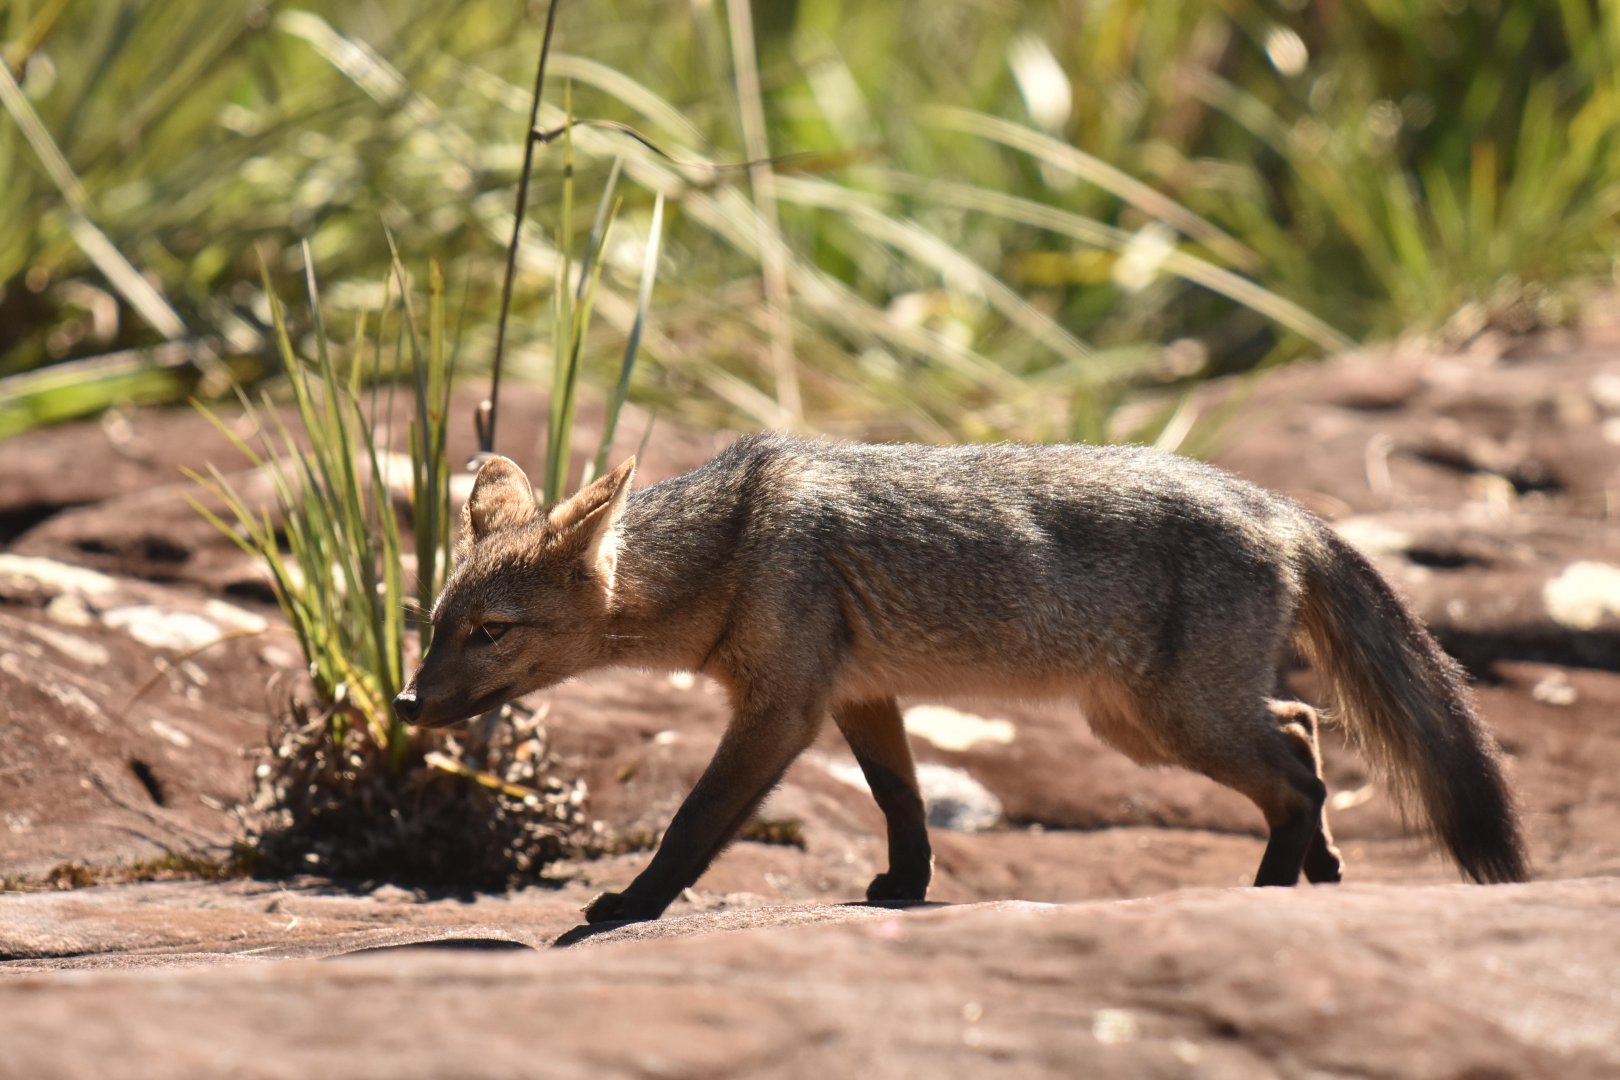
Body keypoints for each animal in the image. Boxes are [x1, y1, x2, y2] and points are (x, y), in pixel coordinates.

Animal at [394, 435, 1528, 923]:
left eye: (490, 632)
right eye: (431, 626)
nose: (405, 704)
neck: (731, 544)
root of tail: (1281, 505)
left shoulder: (781, 710)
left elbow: (693, 824)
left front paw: (629, 905)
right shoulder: (858, 696)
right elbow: (902, 803)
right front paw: (906, 888)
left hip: (1169, 723)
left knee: (1296, 765)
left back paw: (1269, 888)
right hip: (1148, 723)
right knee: (1302, 727)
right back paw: (1321, 871)